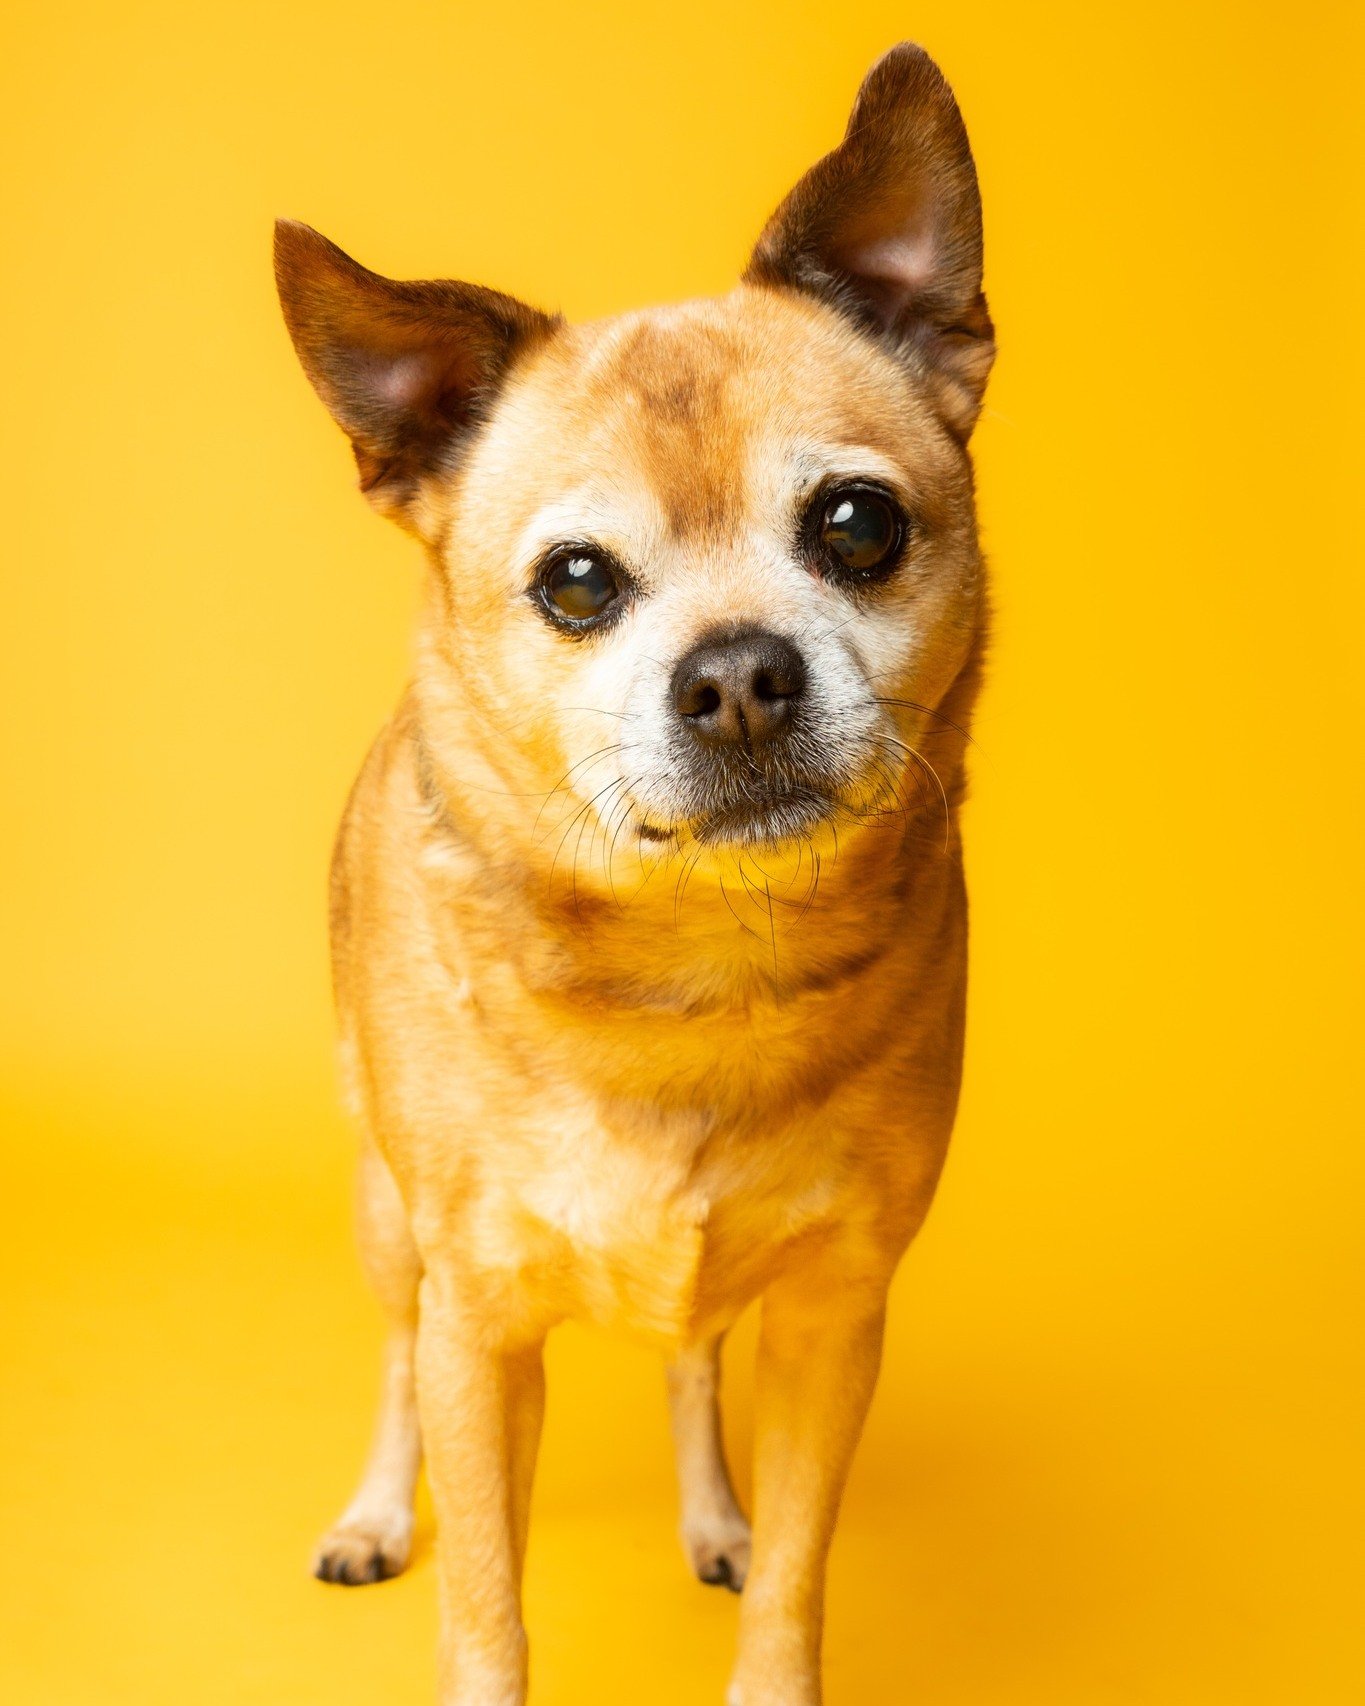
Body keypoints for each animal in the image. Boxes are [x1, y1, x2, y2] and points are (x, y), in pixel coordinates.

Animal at [274, 40, 989, 1706]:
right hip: (387, 1217)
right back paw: (372, 1516)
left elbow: (793, 1575)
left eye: (856, 522)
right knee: (394, 1364)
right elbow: (486, 1599)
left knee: (686, 1359)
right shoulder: (478, 1325)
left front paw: (754, 1571)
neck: (694, 968)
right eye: (578, 583)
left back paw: (711, 1511)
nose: (734, 675)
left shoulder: (833, 1316)